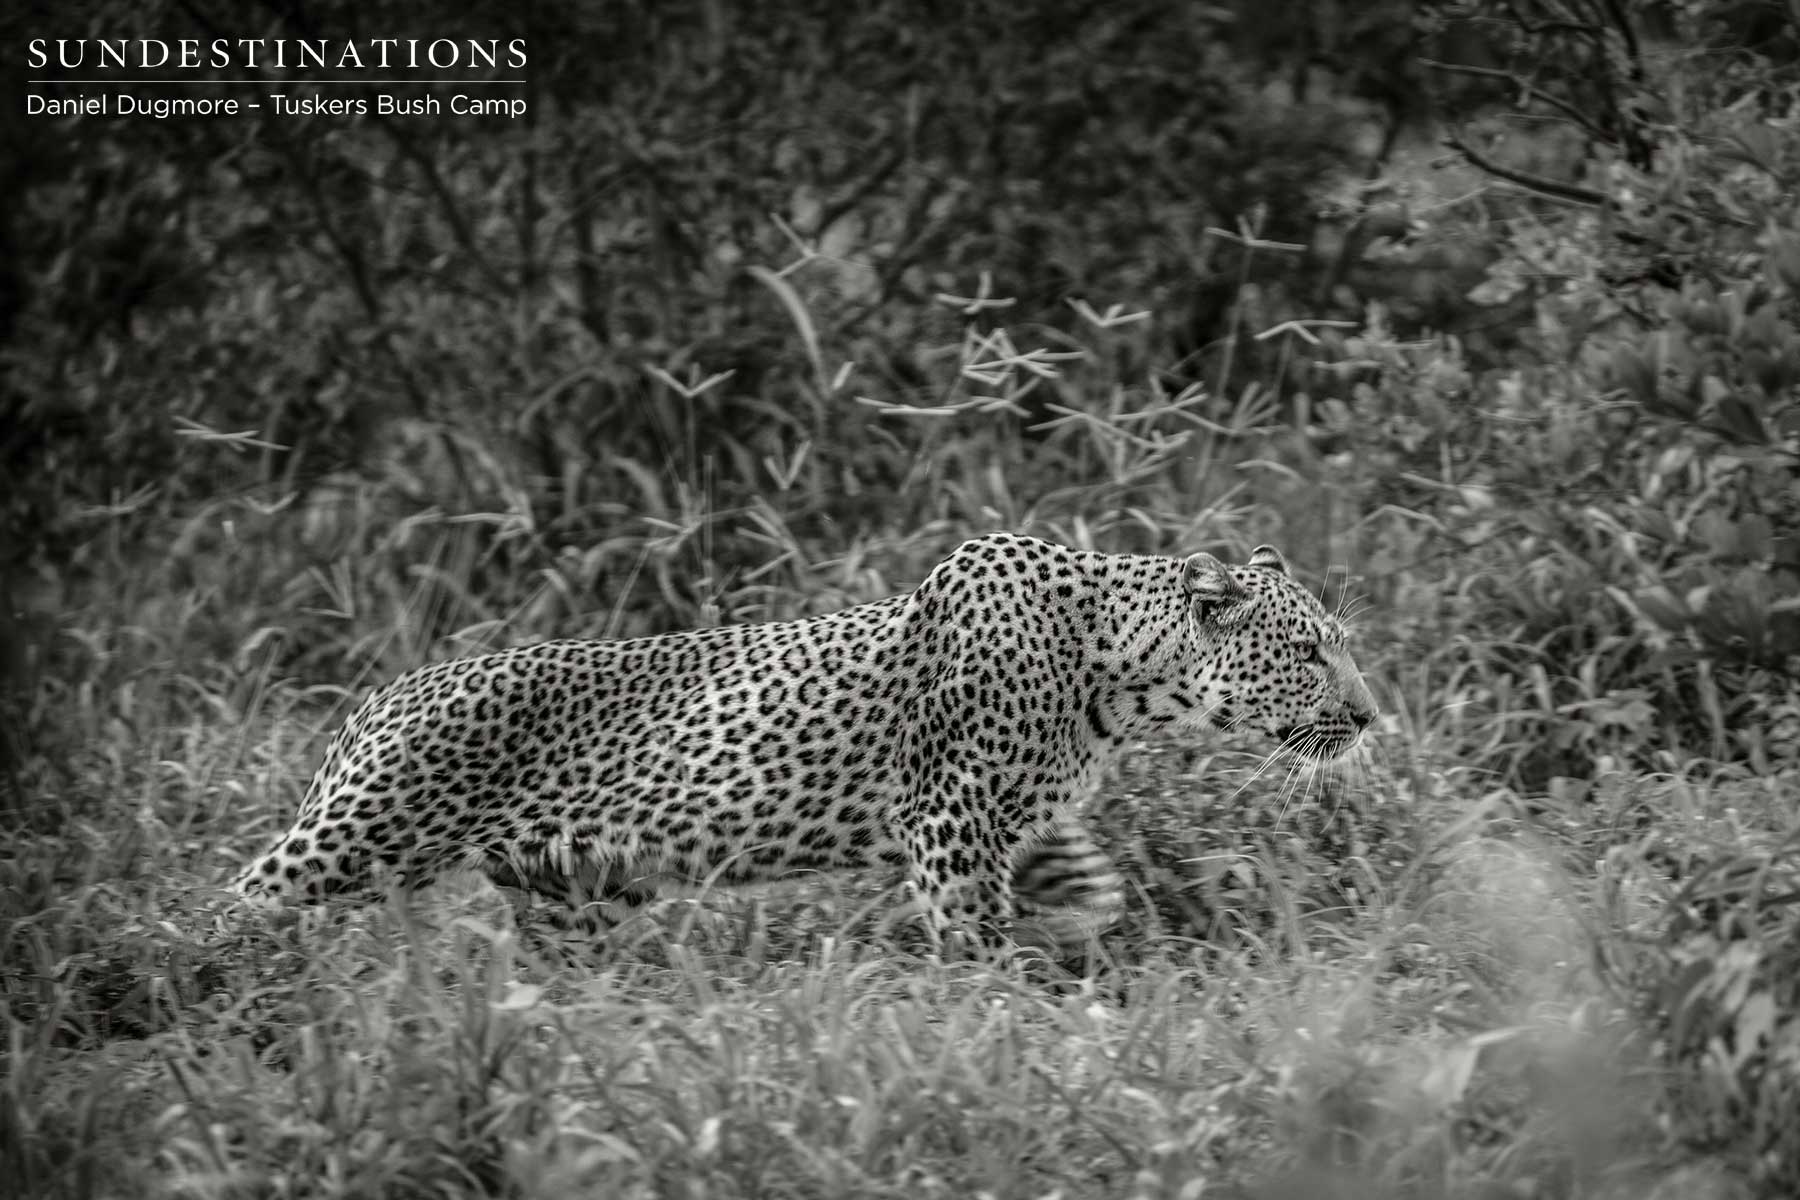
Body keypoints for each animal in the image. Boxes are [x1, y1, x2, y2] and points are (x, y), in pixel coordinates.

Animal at [233, 534, 1378, 954]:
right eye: (1309, 652)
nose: (1370, 717)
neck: (1118, 676)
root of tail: (383, 693)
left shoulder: (1018, 813)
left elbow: (1080, 877)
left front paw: (1078, 929)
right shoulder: (951, 818)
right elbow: (968, 924)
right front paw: (996, 999)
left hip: (572, 890)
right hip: (362, 835)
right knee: (240, 896)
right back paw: (216, 979)